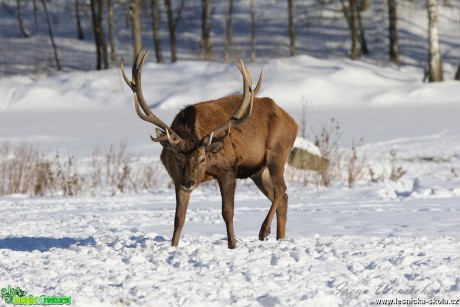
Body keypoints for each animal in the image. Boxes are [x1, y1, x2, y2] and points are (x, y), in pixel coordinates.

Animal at [120, 49, 298, 249]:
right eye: (176, 159)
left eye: (202, 159)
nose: (189, 183)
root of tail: (293, 122)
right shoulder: (177, 179)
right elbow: (179, 218)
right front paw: (173, 246)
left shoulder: (228, 170)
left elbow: (228, 212)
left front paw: (232, 245)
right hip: (257, 170)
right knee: (282, 197)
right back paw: (280, 238)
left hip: (278, 152)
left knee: (280, 189)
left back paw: (264, 231)